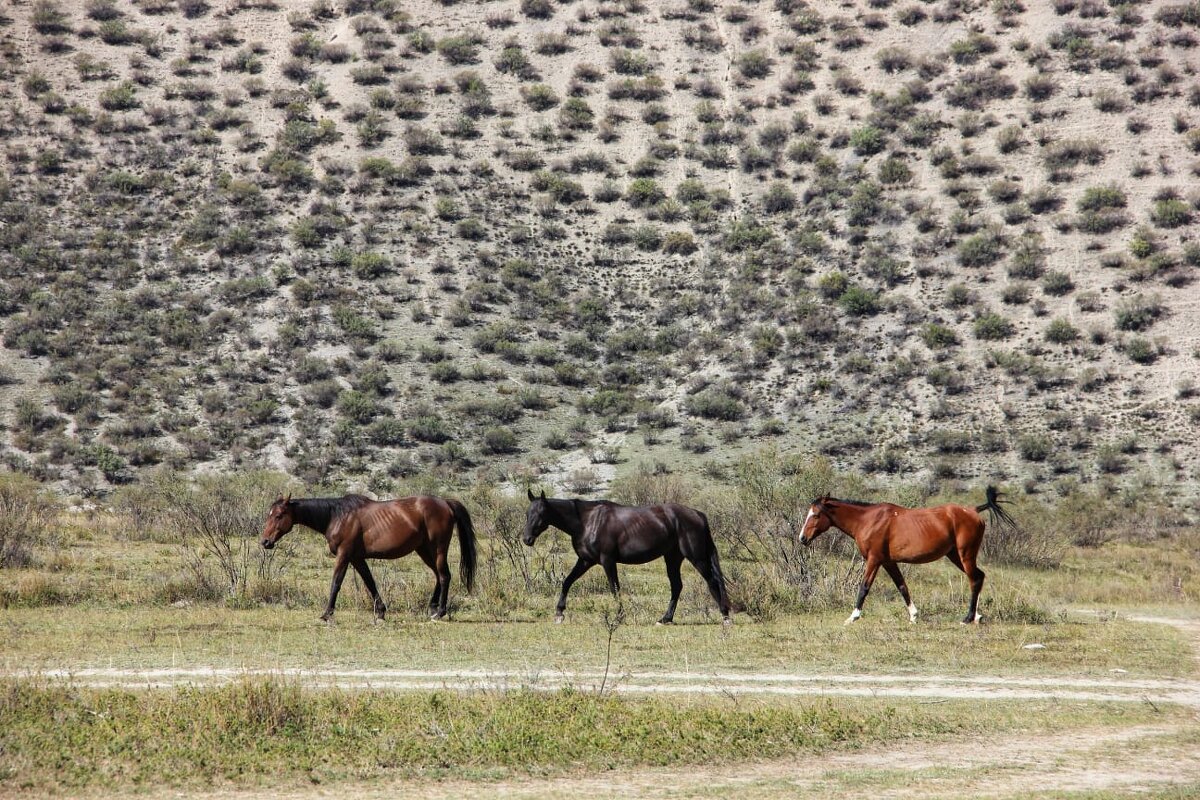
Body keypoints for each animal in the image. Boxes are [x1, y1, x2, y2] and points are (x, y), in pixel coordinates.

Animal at [260, 491, 475, 623]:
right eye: (269, 514)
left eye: (279, 515)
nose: (265, 541)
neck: (337, 516)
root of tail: (445, 503)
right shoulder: (357, 558)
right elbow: (369, 582)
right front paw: (380, 612)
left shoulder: (344, 555)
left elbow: (336, 582)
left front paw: (327, 614)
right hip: (423, 550)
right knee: (438, 576)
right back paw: (432, 608)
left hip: (437, 549)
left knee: (444, 576)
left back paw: (440, 612)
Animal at [523, 489, 729, 623]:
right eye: (527, 513)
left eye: (541, 512)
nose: (527, 539)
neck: (587, 522)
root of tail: (698, 514)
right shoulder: (586, 561)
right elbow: (567, 581)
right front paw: (559, 612)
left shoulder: (607, 560)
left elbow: (615, 588)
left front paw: (619, 617)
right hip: (672, 558)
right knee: (677, 586)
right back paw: (666, 618)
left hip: (696, 557)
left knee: (712, 582)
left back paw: (725, 615)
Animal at [796, 489, 1012, 623]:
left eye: (816, 515)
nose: (802, 538)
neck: (868, 520)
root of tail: (974, 511)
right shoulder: (888, 562)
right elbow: (902, 586)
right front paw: (914, 616)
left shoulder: (874, 560)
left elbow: (864, 587)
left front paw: (853, 616)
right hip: (955, 556)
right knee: (979, 576)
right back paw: (976, 616)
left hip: (965, 555)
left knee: (974, 579)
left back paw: (968, 618)